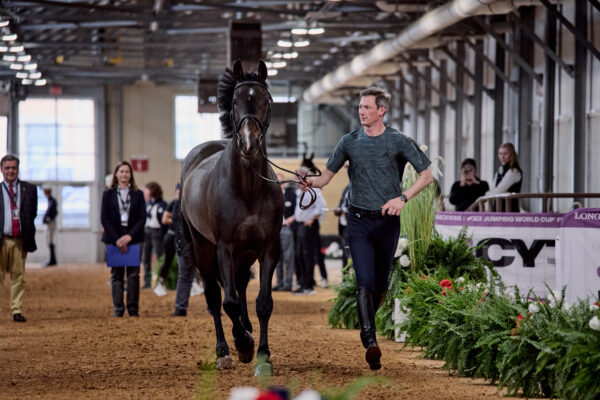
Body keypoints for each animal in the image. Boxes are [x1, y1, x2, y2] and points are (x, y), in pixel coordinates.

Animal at [179, 59, 283, 376]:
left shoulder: (268, 248)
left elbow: (263, 303)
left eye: (266, 101)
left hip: (245, 254)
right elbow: (229, 303)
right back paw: (224, 350)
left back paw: (245, 330)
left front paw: (263, 356)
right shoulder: (224, 247)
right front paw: (244, 345)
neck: (248, 188)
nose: (249, 144)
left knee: (239, 284)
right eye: (236, 102)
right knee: (216, 297)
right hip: (203, 247)